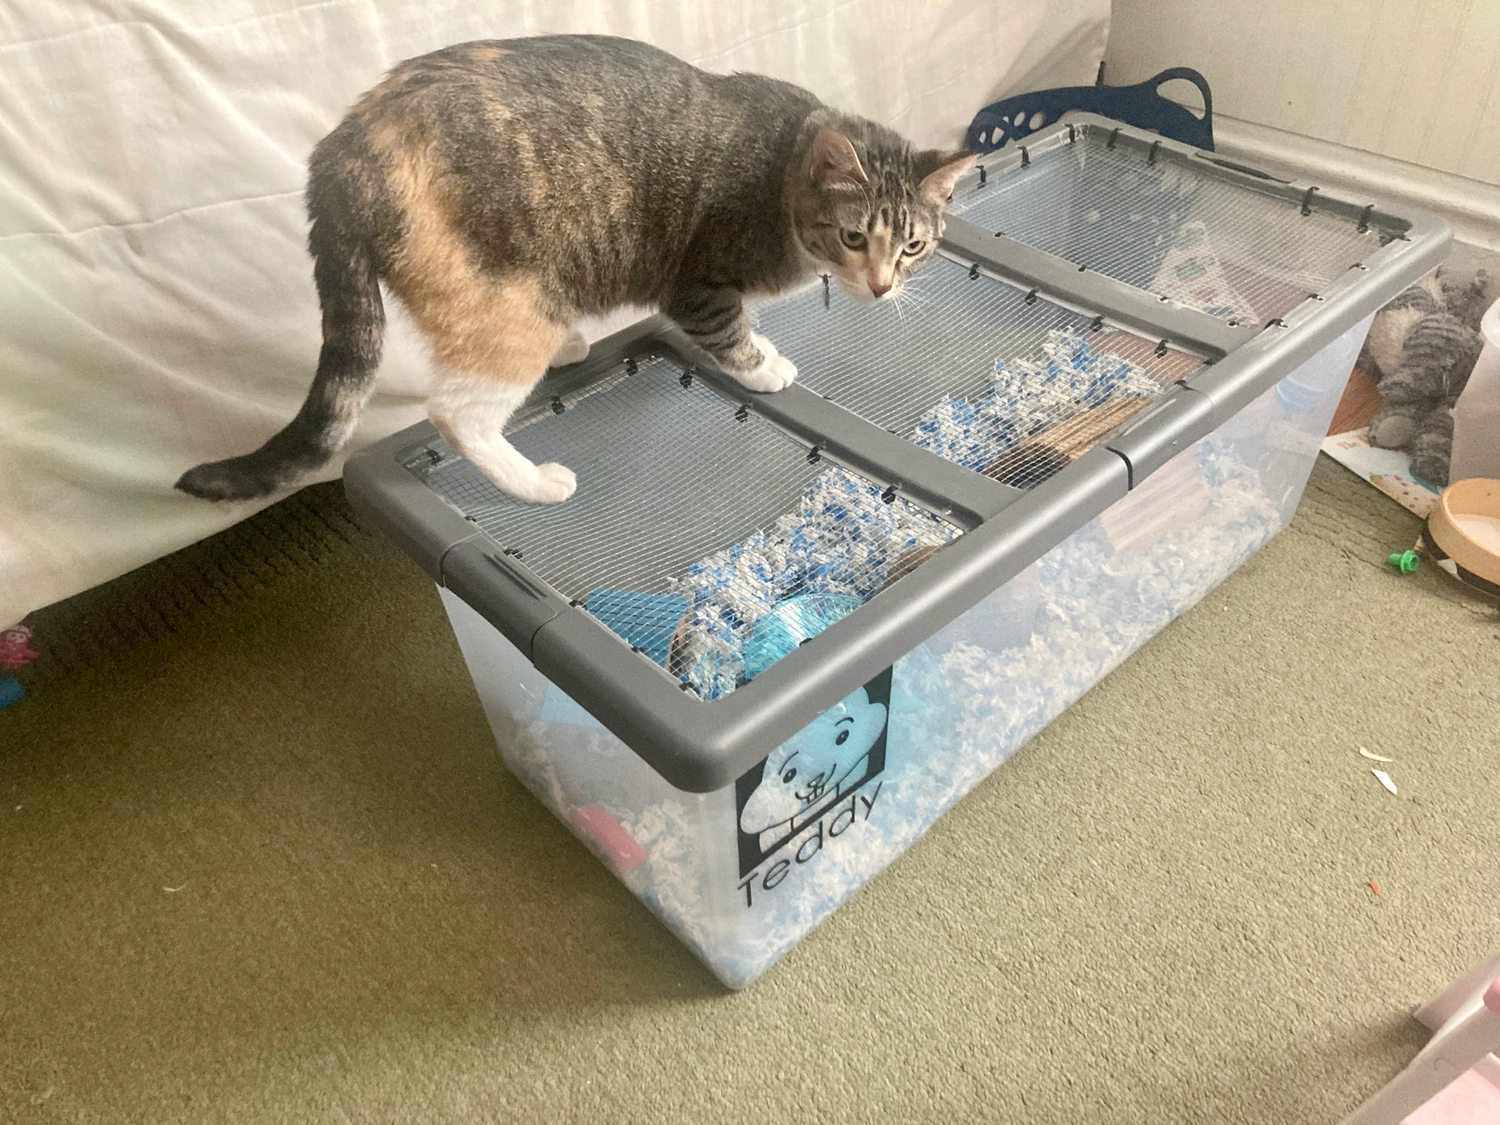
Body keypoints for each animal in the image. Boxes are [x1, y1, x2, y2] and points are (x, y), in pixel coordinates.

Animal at [177, 35, 974, 506]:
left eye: (912, 247)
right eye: (853, 236)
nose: (882, 287)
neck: (783, 167)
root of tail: (341, 147)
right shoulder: (697, 283)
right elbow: (729, 334)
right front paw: (765, 367)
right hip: (503, 302)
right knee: (455, 412)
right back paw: (534, 482)